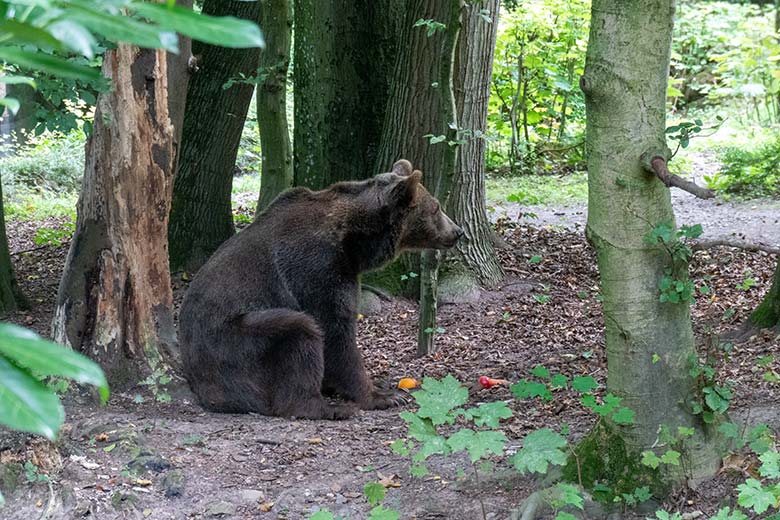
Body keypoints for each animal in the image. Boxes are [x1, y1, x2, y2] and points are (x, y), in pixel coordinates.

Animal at [179, 158, 460, 418]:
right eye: (436, 207)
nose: (458, 231)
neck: (354, 243)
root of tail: (203, 390)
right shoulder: (319, 270)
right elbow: (335, 333)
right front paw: (381, 396)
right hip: (237, 343)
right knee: (300, 332)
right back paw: (328, 408)